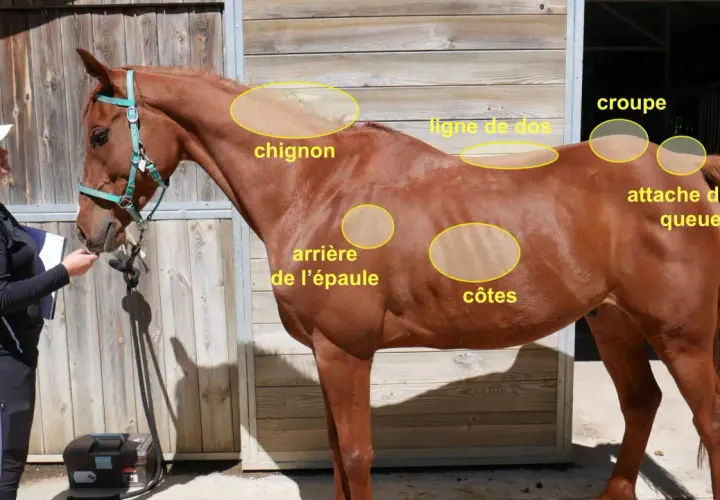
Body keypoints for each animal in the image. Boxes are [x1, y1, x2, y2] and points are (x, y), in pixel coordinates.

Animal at [72, 47, 720, 500]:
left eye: (100, 134)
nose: (87, 232)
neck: (316, 186)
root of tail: (690, 169)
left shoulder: (346, 351)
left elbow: (357, 456)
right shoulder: (327, 354)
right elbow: (337, 453)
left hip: (682, 337)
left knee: (706, 420)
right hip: (613, 323)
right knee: (641, 403)